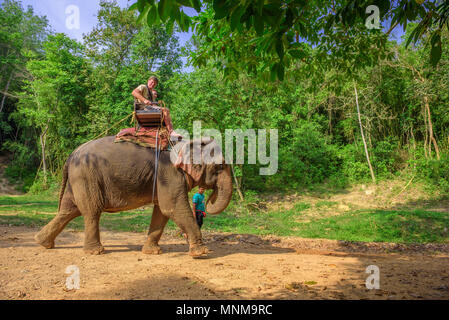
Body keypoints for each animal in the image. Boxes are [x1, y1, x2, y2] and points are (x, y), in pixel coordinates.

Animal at [33, 136, 233, 256]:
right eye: (220, 167)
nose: (208, 198)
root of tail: (71, 155)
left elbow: (161, 212)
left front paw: (152, 252)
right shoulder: (169, 174)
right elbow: (173, 207)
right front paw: (202, 252)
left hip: (77, 180)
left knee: (68, 210)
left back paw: (43, 243)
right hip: (86, 177)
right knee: (91, 211)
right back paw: (96, 252)